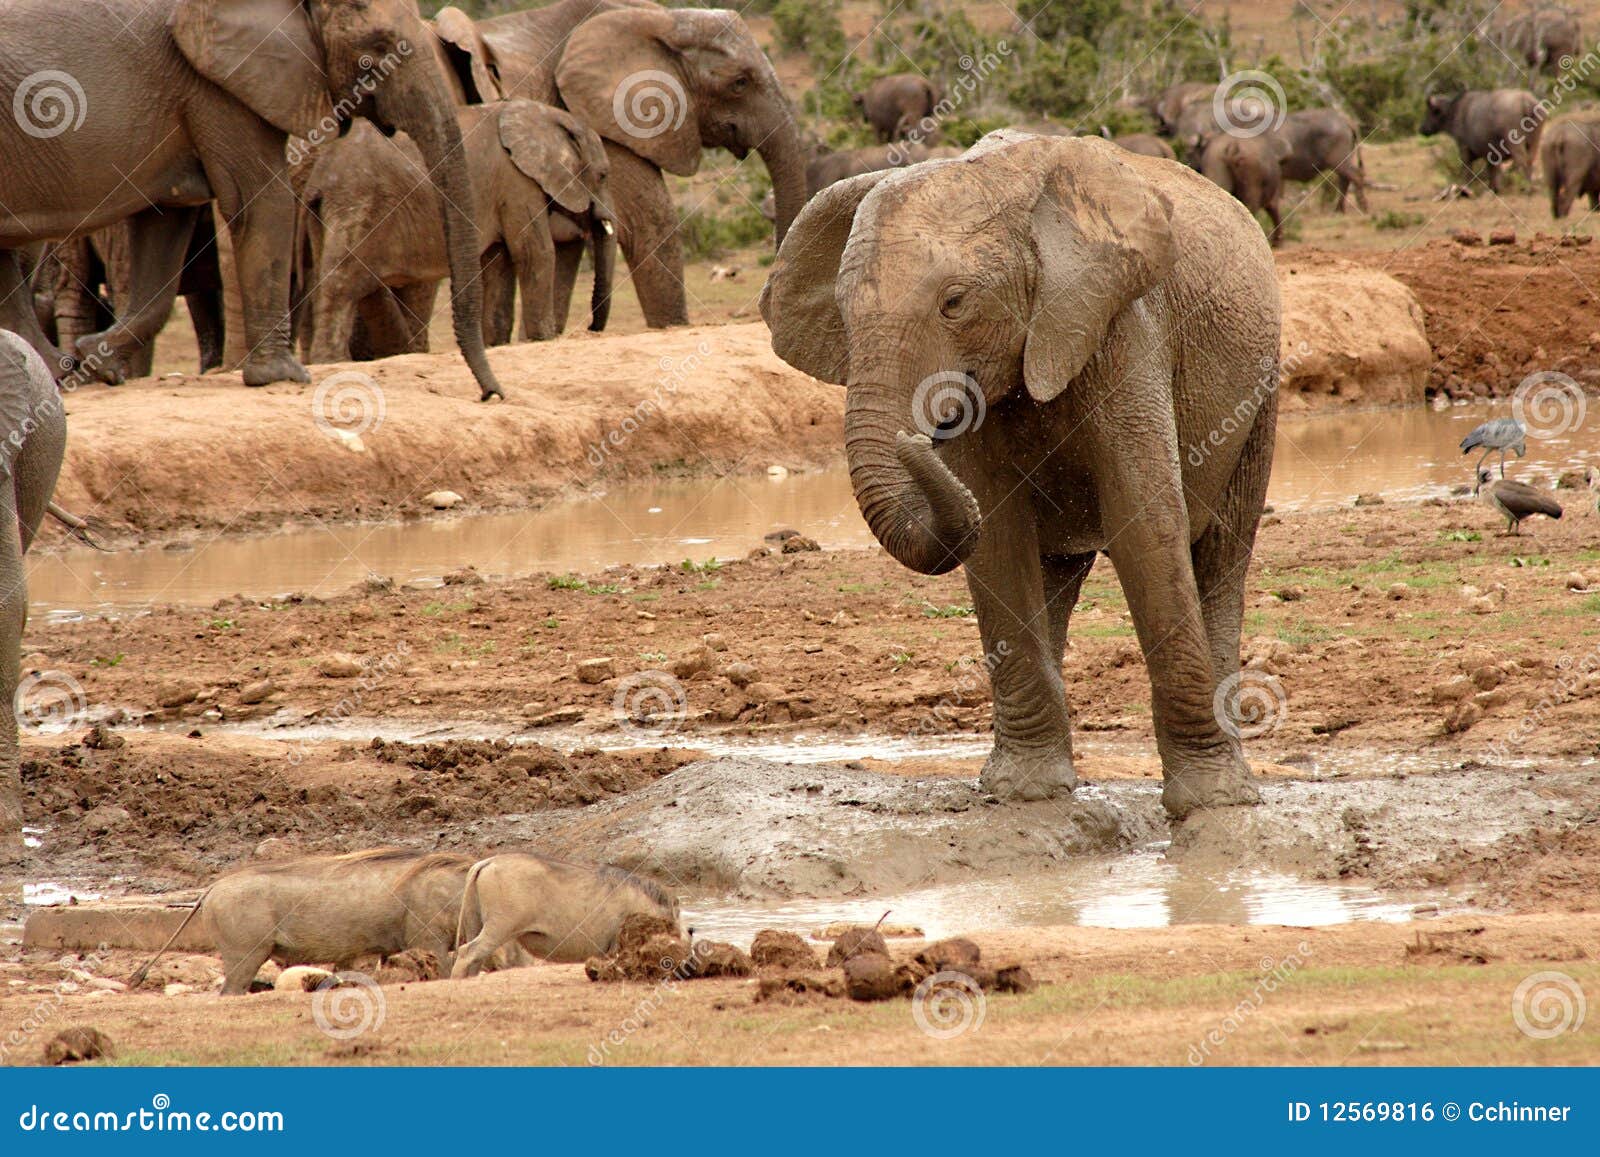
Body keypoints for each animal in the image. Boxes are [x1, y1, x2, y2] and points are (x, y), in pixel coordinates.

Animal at [0, 0, 503, 401]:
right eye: (379, 45)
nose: (491, 395)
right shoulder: (216, 82)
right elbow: (259, 195)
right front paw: (283, 376)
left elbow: (167, 218)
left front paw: (98, 362)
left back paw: (56, 374)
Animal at [297, 100, 615, 363]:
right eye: (603, 175)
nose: (591, 328)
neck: (549, 115)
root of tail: (318, 178)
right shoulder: (516, 180)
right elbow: (534, 253)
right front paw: (543, 339)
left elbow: (498, 263)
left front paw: (495, 345)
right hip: (358, 202)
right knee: (342, 281)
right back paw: (333, 362)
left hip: (333, 213)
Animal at [433, 1, 807, 329]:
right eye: (740, 83)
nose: (591, 327)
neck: (662, 20)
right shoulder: (599, 119)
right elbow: (652, 221)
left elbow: (568, 245)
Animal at [759, 132, 1281, 818]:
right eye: (843, 315)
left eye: (954, 303)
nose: (915, 438)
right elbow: (998, 534)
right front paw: (1024, 793)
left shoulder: (1120, 325)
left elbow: (1145, 521)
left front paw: (1211, 803)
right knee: (1055, 569)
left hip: (1262, 390)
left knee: (1222, 553)